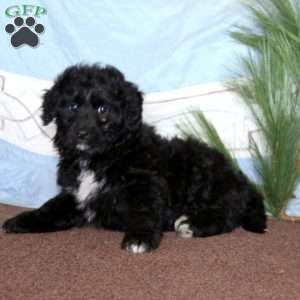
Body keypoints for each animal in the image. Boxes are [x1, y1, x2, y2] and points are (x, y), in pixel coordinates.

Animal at [1, 63, 264, 253]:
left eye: (103, 110)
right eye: (72, 107)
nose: (81, 133)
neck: (100, 157)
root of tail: (242, 181)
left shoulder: (146, 184)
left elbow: (144, 212)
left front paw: (139, 239)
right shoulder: (75, 194)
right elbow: (51, 207)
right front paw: (23, 219)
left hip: (206, 178)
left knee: (227, 216)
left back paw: (191, 224)